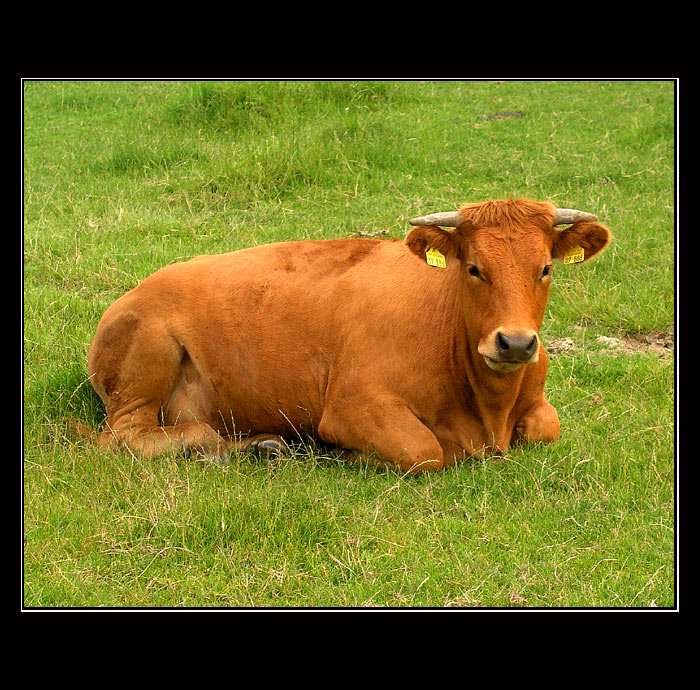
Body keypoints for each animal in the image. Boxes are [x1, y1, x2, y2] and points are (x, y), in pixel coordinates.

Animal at [86, 198, 611, 473]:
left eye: (545, 269)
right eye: (475, 268)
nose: (516, 343)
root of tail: (136, 290)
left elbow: (546, 428)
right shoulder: (354, 406)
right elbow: (424, 452)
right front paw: (350, 455)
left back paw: (263, 446)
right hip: (143, 366)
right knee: (127, 438)